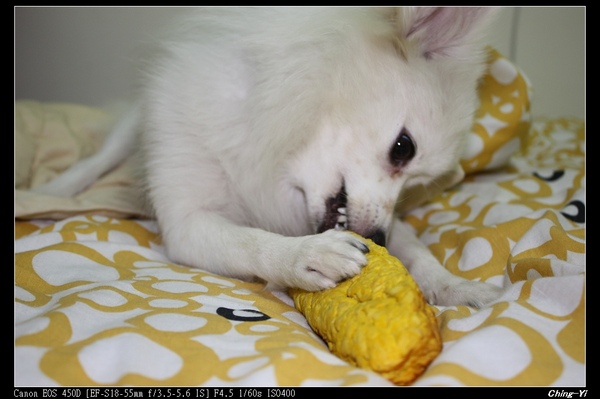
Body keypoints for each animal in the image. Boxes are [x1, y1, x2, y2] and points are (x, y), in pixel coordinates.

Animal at [32, 6, 502, 308]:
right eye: (403, 148)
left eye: (417, 184)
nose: (378, 240)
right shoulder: (188, 224)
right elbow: (250, 242)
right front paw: (304, 255)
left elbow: (418, 251)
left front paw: (455, 286)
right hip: (137, 123)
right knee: (100, 157)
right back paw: (53, 191)